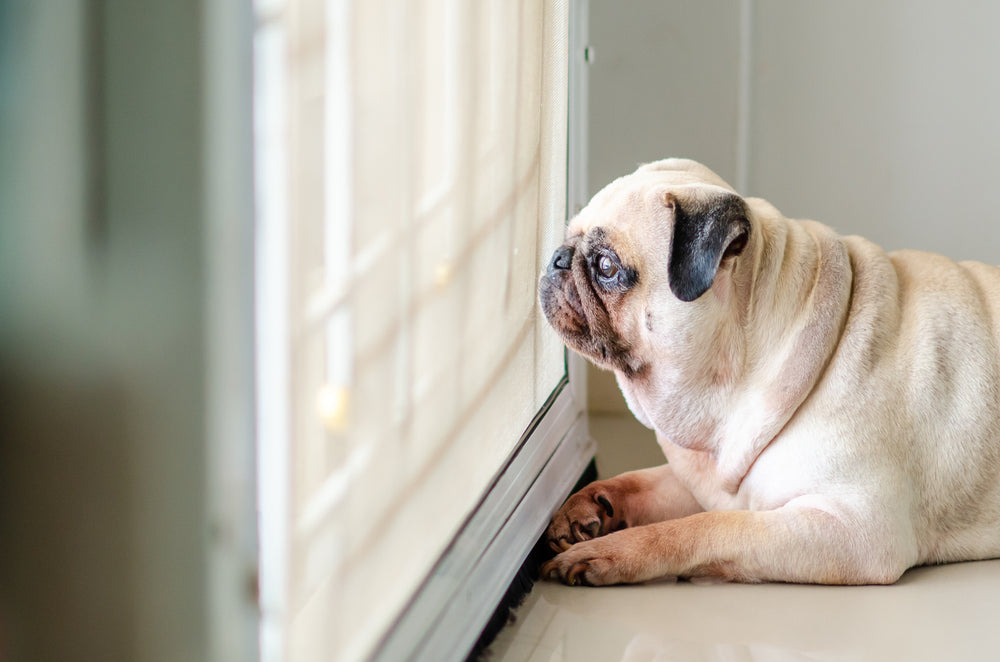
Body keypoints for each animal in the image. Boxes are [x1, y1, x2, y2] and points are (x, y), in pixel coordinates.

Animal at [540, 160, 1000, 588]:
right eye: (568, 240)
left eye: (606, 266)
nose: (557, 259)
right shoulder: (710, 482)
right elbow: (638, 481)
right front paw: (588, 504)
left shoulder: (856, 530)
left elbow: (700, 528)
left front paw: (612, 551)